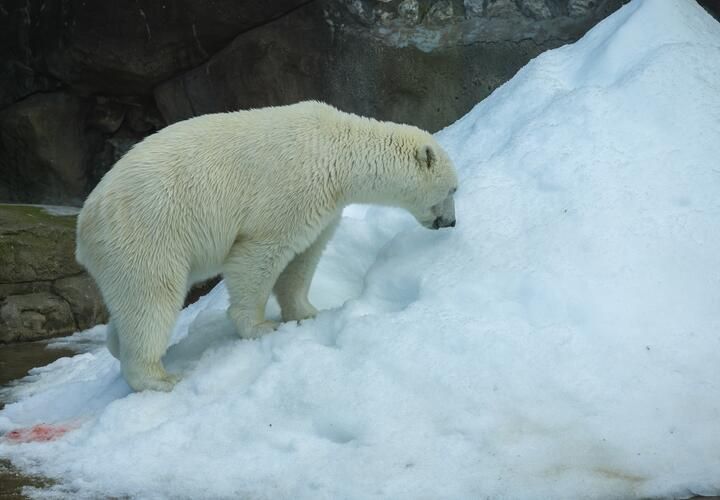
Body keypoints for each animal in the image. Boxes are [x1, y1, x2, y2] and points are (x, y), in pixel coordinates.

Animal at [76, 101, 458, 392]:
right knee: (152, 298)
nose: (451, 223)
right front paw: (261, 327)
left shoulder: (323, 206)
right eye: (454, 189)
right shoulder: (290, 191)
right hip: (147, 232)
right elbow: (258, 255)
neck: (337, 149)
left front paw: (308, 313)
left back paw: (117, 345)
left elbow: (304, 257)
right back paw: (159, 378)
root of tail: (84, 224)